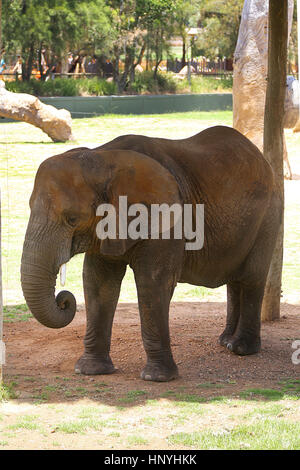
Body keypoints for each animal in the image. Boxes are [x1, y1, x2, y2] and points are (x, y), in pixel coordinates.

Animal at [21, 126, 282, 382]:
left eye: (72, 219)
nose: (64, 299)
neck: (103, 158)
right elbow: (97, 282)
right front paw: (89, 370)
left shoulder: (167, 218)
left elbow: (153, 282)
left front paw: (157, 377)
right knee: (235, 280)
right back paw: (225, 341)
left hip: (268, 213)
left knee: (252, 277)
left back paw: (241, 349)